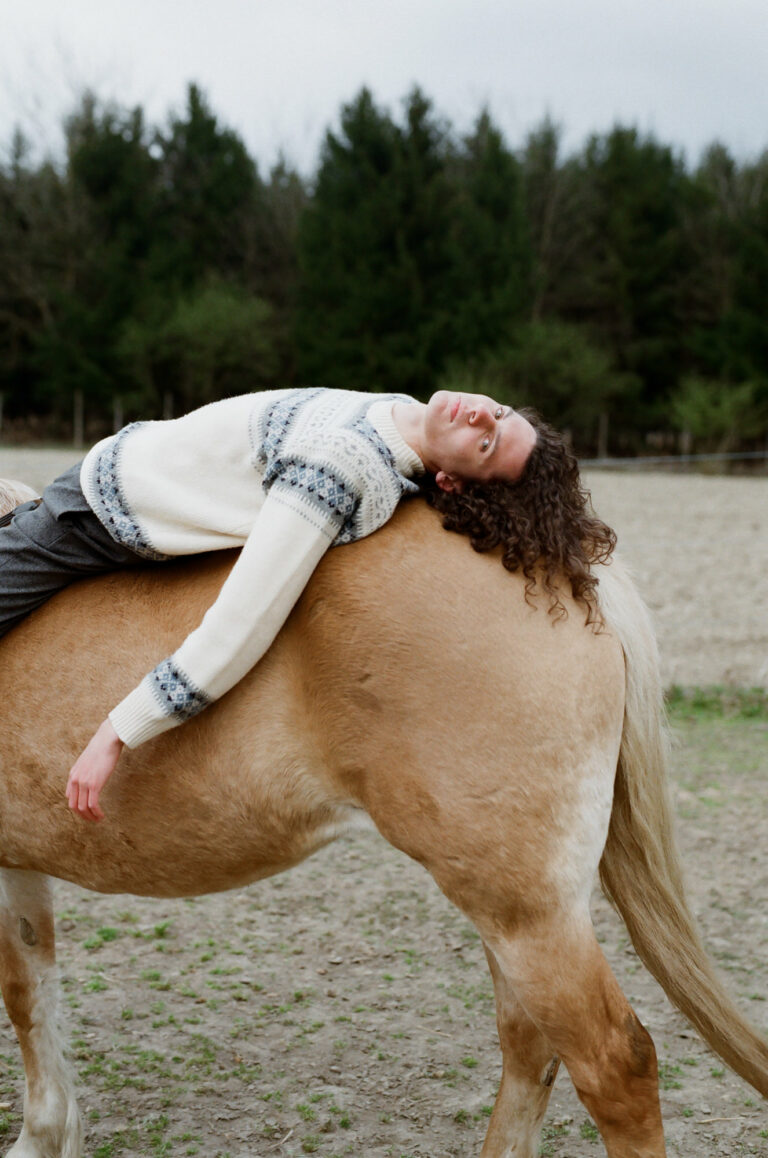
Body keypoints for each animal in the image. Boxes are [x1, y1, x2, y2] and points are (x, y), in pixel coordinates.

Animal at [0, 481, 764, 1158]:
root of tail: (563, 561)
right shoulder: (20, 868)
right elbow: (32, 988)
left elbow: (19, 994)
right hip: (514, 908)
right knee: (528, 1045)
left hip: (528, 911)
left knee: (614, 1064)